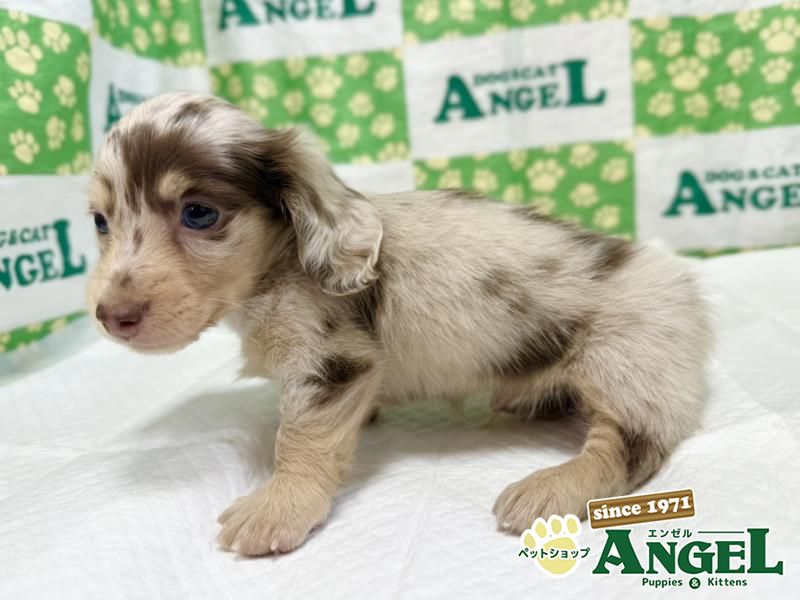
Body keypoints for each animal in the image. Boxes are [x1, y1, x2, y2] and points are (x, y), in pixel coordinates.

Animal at [87, 92, 711, 556]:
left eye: (199, 213)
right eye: (99, 221)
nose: (111, 318)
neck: (281, 266)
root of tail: (684, 287)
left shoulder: (332, 362)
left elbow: (302, 439)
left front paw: (278, 507)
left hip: (625, 362)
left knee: (625, 449)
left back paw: (547, 489)